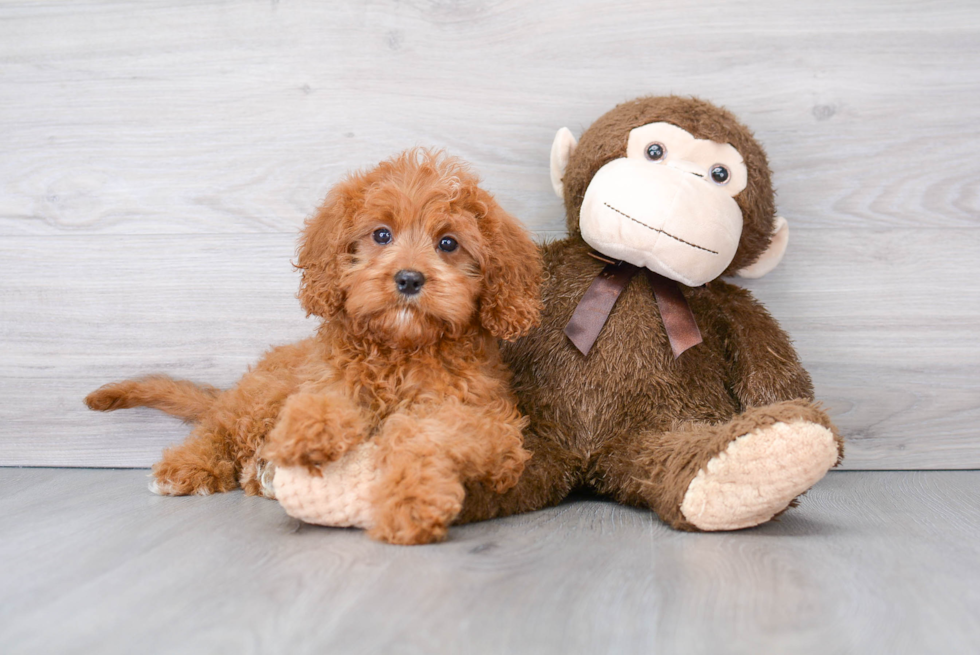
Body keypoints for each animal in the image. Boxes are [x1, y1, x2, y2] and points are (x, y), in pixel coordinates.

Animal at [84, 151, 544, 544]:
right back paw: (190, 465)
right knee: (219, 428)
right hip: (264, 397)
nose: (409, 278)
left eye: (448, 243)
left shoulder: (486, 420)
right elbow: (322, 403)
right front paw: (307, 434)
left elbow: (421, 434)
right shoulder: (327, 381)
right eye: (381, 234)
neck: (400, 348)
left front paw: (410, 502)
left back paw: (261, 476)